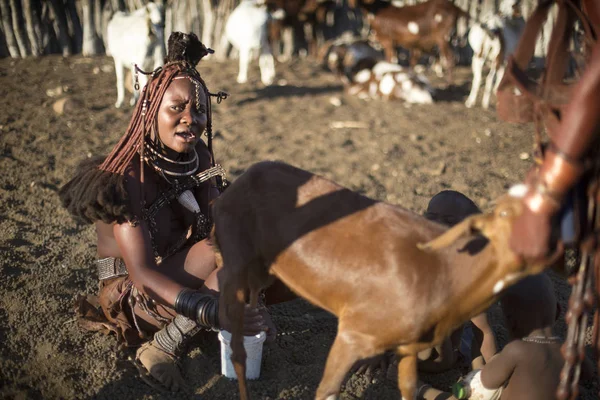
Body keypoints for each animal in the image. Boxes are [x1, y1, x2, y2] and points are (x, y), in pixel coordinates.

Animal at [212, 161, 548, 400]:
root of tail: (243, 176)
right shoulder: (350, 334)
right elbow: (327, 390)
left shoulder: (408, 347)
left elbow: (408, 388)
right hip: (235, 265)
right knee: (236, 344)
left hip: (260, 273)